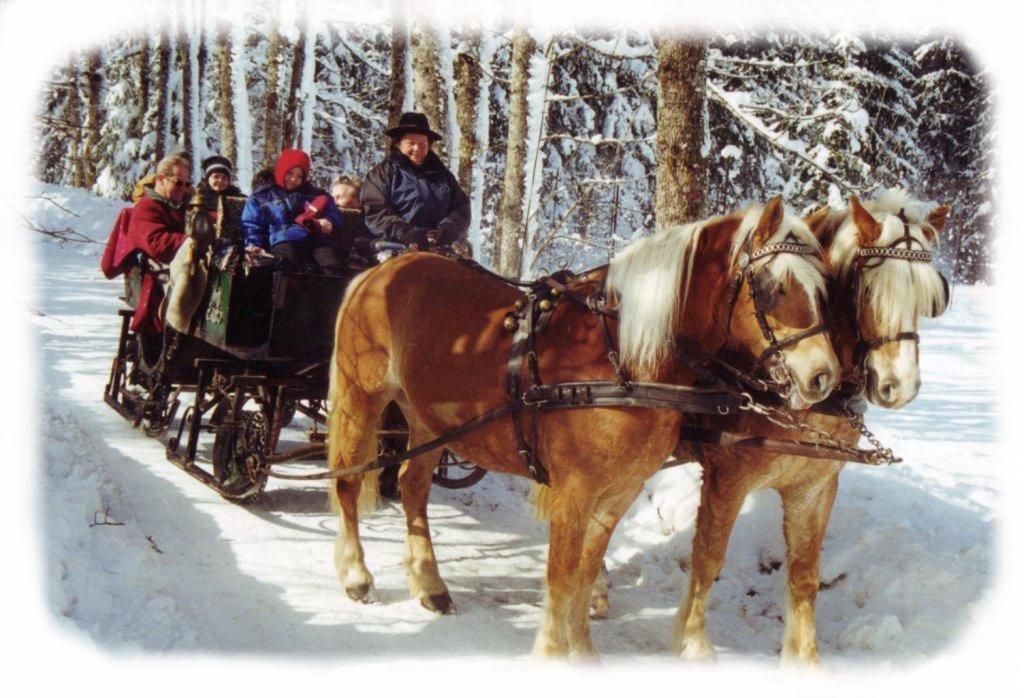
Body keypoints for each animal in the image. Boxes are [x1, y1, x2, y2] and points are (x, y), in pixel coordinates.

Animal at [327, 194, 839, 650]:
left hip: (428, 419)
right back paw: (356, 575)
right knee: (348, 481)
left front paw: (582, 649)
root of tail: (380, 271)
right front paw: (554, 651)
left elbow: (586, 572)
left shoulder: (619, 491)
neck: (624, 360)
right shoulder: (573, 490)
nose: (824, 376)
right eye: (774, 287)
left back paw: (430, 585)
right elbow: (561, 574)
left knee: (413, 486)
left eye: (823, 291)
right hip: (361, 398)